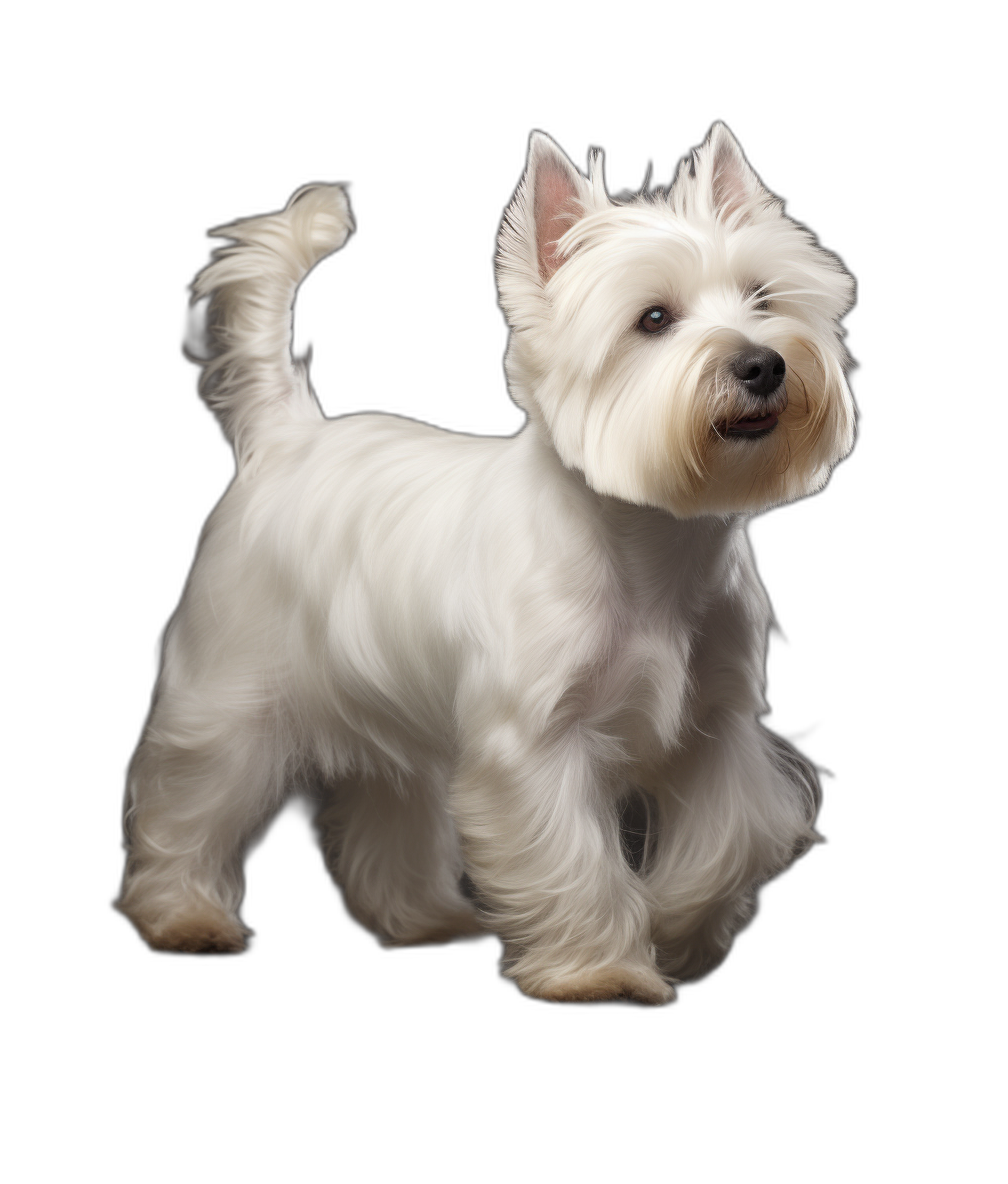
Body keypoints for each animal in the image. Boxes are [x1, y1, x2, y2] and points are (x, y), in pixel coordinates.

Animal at [118, 124, 857, 1004]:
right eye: (653, 318)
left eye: (763, 299)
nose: (762, 364)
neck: (652, 543)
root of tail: (286, 435)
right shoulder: (536, 744)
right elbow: (574, 861)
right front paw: (603, 970)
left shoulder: (717, 729)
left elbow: (728, 844)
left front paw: (676, 928)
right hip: (232, 689)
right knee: (192, 797)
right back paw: (184, 919)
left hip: (391, 710)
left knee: (389, 807)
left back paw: (425, 919)